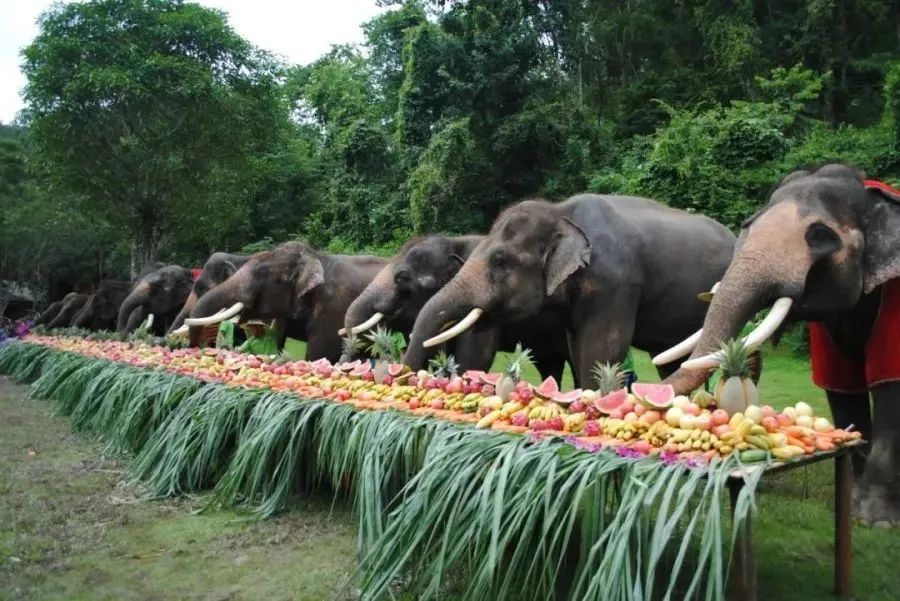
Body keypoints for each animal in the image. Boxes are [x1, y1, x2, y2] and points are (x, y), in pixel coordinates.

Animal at [401, 194, 737, 387]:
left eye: (500, 260)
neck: (559, 212)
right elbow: (578, 348)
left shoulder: (614, 281)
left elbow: (601, 349)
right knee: (669, 360)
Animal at [660, 164, 900, 525]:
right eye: (747, 225)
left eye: (820, 236)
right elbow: (841, 388)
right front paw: (856, 503)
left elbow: (890, 385)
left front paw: (875, 522)